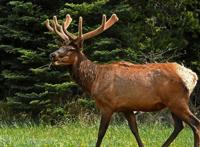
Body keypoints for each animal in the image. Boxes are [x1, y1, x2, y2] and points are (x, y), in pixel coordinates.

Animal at [45, 14, 200, 147]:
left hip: (177, 101)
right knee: (179, 126)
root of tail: (192, 76)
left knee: (195, 124)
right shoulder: (127, 108)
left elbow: (101, 133)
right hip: (173, 103)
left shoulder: (107, 105)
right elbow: (135, 131)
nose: (52, 55)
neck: (94, 80)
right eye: (60, 46)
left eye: (71, 49)